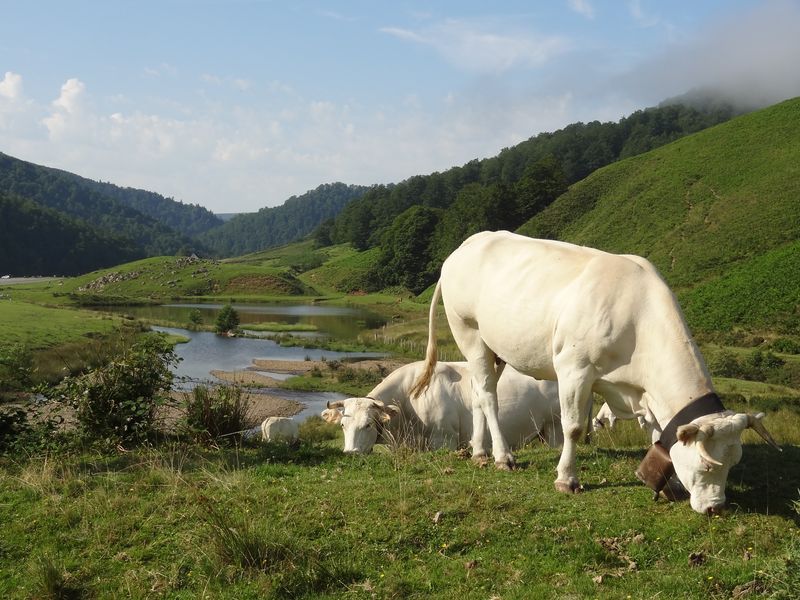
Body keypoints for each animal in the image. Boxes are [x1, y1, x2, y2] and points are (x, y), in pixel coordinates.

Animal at [412, 232, 780, 512]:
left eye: (733, 463)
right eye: (706, 465)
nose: (716, 508)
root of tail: (465, 246)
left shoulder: (641, 392)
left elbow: (658, 435)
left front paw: (670, 485)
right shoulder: (574, 369)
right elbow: (574, 428)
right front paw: (567, 479)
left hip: (494, 348)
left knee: (477, 394)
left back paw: (479, 452)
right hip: (468, 333)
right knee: (488, 396)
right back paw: (504, 457)